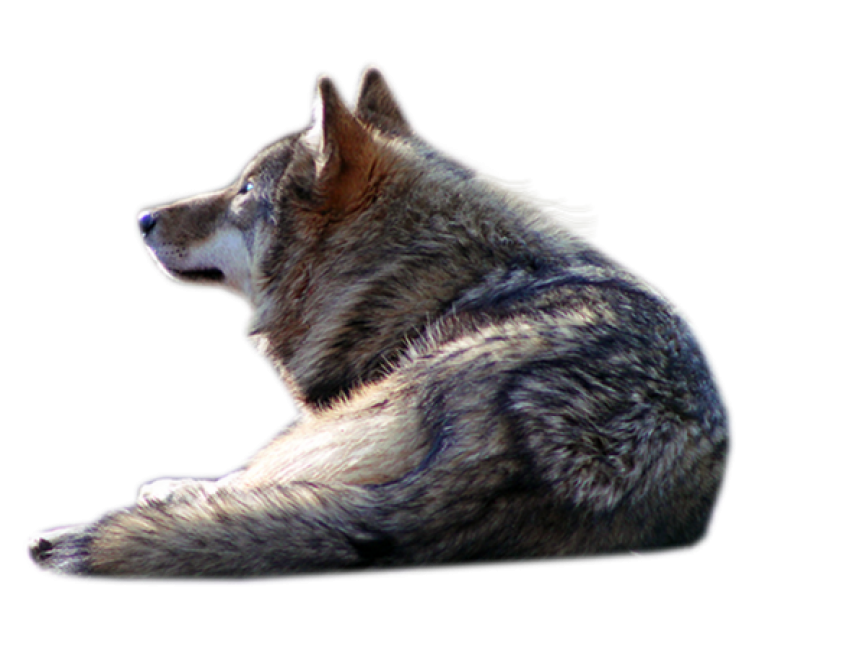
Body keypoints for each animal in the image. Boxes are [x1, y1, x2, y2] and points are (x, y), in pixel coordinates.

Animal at [23, 62, 735, 584]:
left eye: (244, 192)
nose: (141, 218)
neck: (414, 264)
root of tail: (548, 449)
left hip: (327, 426)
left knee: (257, 486)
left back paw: (150, 500)